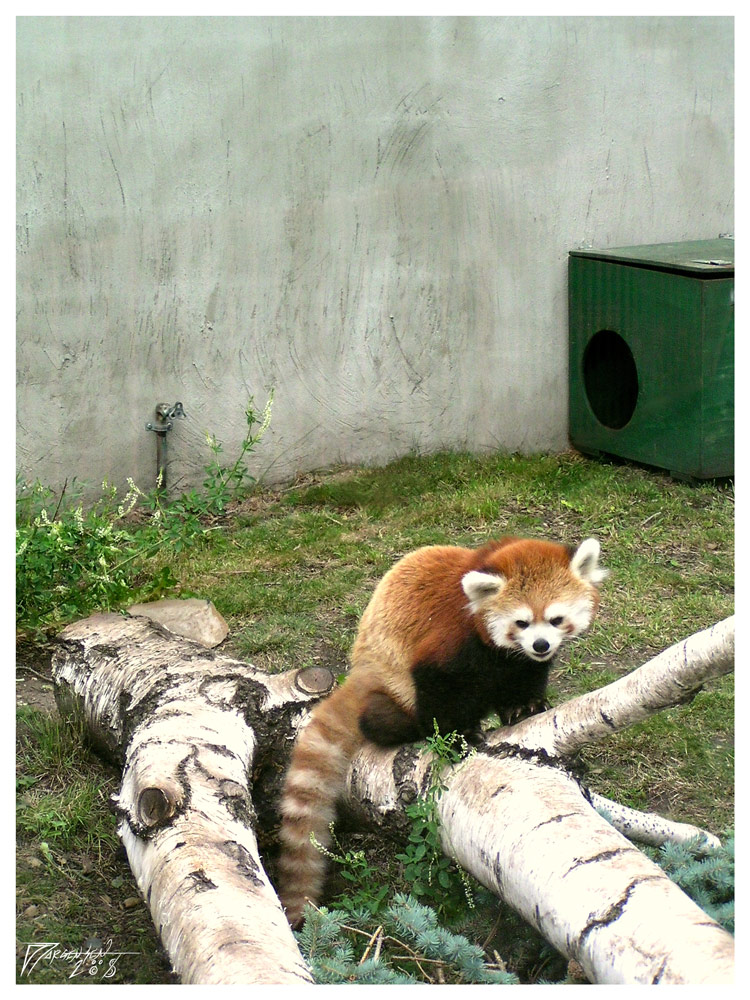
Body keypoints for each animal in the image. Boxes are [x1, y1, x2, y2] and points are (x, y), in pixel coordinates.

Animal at [276, 536, 604, 924]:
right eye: (522, 623)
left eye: (555, 619)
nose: (541, 645)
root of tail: (362, 669)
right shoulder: (449, 639)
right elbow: (439, 690)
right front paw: (456, 738)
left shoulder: (520, 664)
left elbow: (526, 678)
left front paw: (523, 707)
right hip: (391, 685)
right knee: (380, 719)